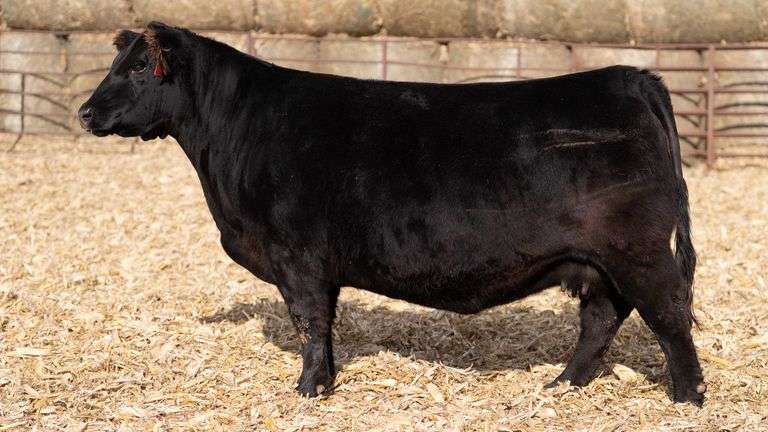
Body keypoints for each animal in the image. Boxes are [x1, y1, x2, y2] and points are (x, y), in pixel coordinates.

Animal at [79, 22, 705, 405]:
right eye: (117, 63)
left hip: (637, 251)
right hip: (598, 262)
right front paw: (324, 383)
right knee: (602, 318)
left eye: (140, 68)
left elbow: (309, 323)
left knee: (670, 314)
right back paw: (562, 384)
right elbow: (323, 325)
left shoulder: (297, 256)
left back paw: (687, 397)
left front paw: (308, 390)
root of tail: (630, 76)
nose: (85, 112)